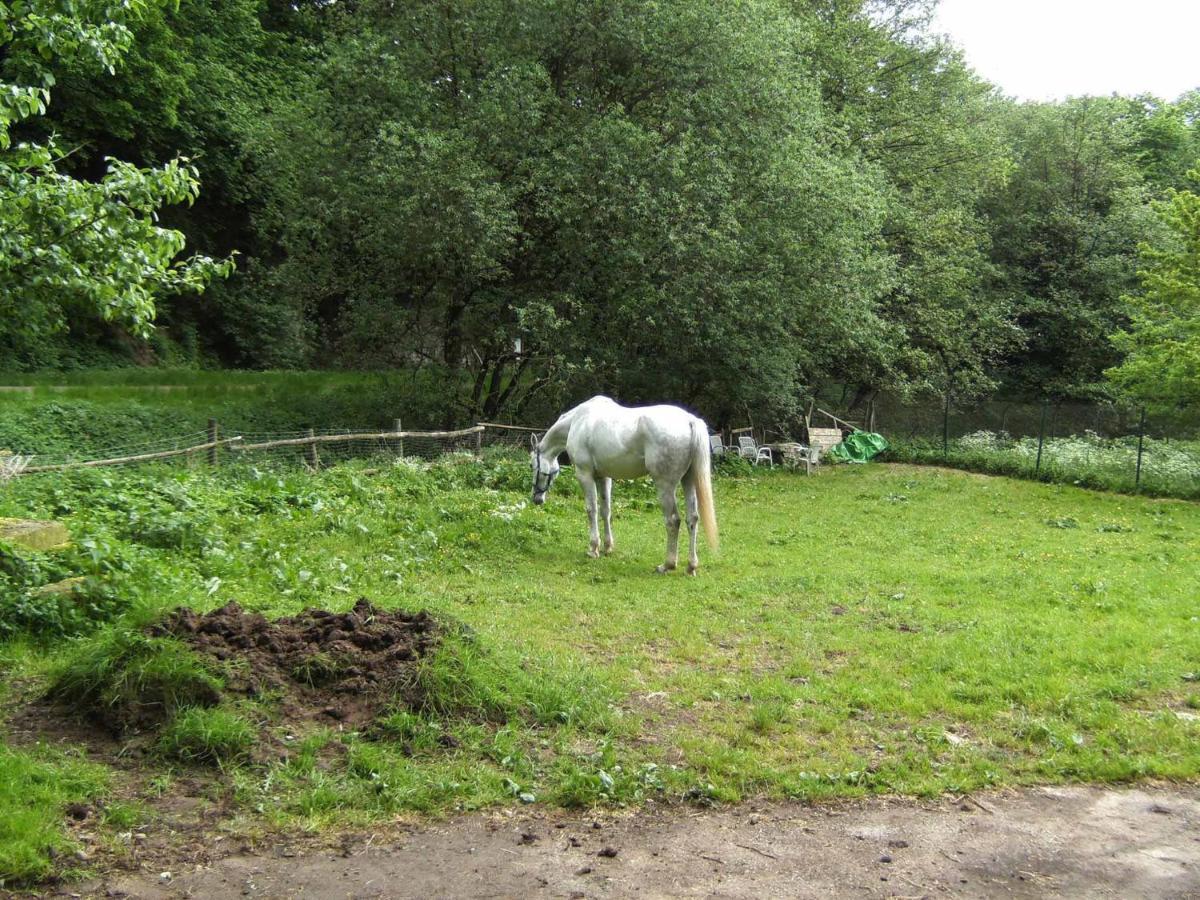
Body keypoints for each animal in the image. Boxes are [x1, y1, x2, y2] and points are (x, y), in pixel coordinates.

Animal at [530, 396, 715, 578]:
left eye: (533, 465)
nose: (536, 498)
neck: (577, 420)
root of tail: (690, 421)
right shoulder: (604, 477)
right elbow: (605, 511)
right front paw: (607, 547)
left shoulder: (585, 475)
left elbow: (591, 510)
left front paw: (593, 549)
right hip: (688, 481)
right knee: (692, 519)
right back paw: (691, 566)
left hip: (665, 486)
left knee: (673, 521)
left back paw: (667, 565)